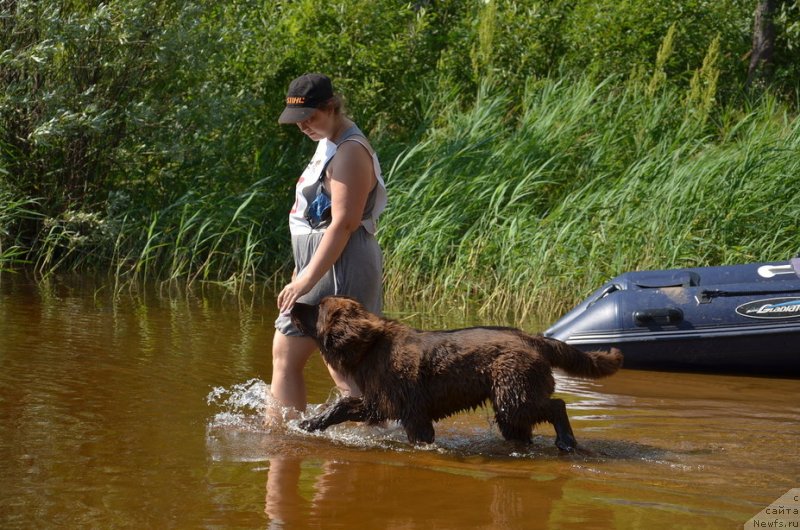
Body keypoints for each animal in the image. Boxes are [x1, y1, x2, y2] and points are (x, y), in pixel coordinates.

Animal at [290, 294, 620, 448]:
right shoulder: (381, 402)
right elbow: (343, 406)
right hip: (508, 404)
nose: (292, 304)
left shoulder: (407, 409)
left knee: (556, 405)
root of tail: (531, 337)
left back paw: (566, 441)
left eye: (317, 308)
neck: (370, 345)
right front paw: (310, 423)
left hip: (514, 394)